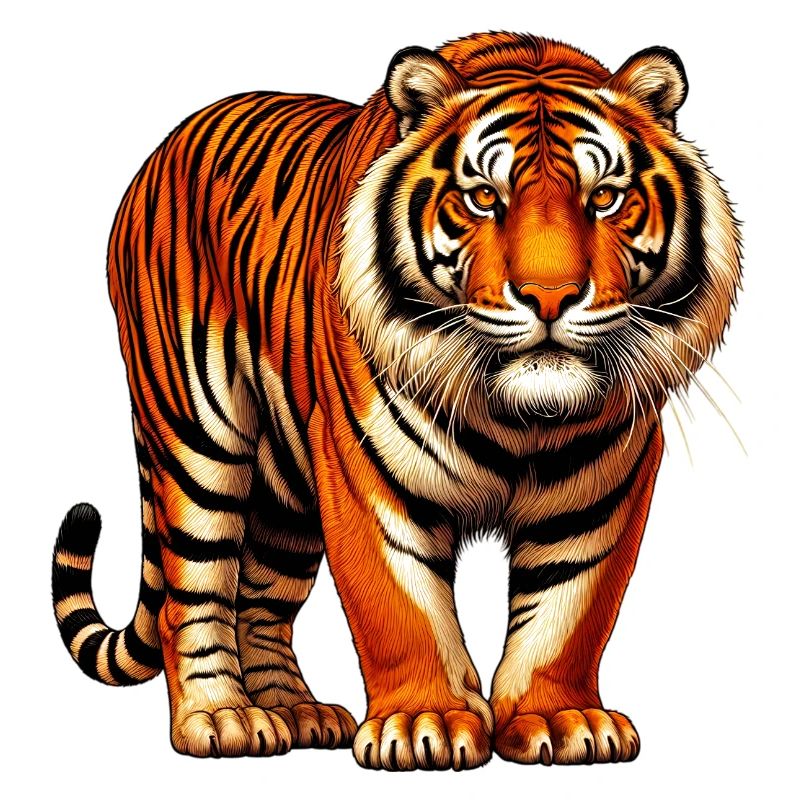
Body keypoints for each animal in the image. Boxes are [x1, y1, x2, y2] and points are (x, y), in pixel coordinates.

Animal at [51, 31, 741, 770]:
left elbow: (568, 611)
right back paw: (221, 718)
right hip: (195, 434)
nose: (550, 296)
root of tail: (169, 142)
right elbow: (400, 603)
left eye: (606, 197)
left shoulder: (607, 479)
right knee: (196, 589)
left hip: (286, 493)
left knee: (260, 600)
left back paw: (293, 712)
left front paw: (559, 719)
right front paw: (422, 723)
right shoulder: (363, 465)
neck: (519, 416)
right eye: (483, 197)